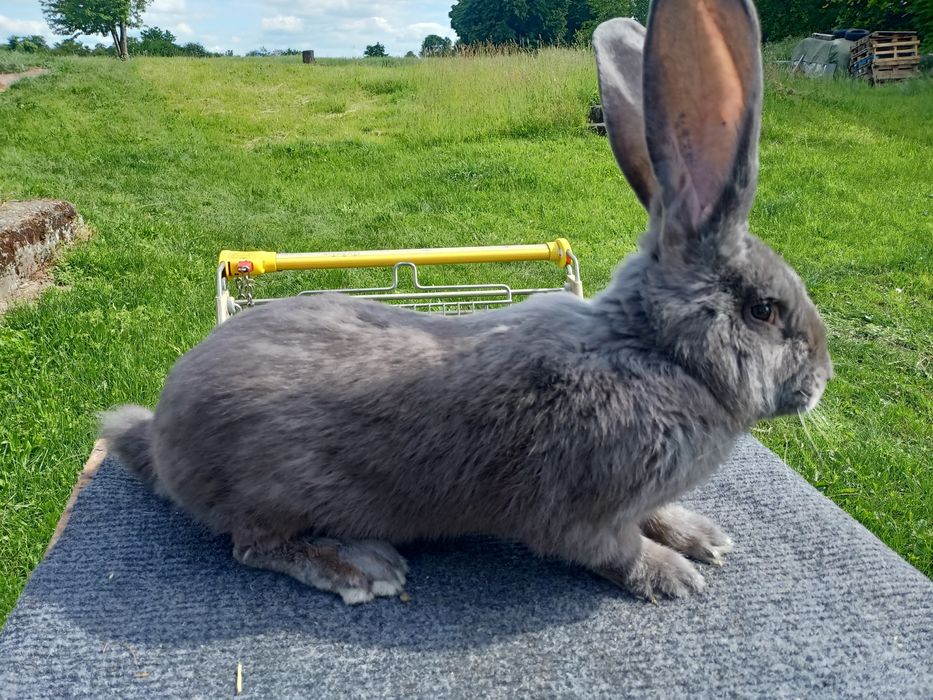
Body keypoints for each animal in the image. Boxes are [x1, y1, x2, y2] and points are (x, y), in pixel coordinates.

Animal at [100, 0, 832, 604]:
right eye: (765, 310)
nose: (820, 381)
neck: (652, 351)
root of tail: (158, 438)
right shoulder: (584, 513)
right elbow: (614, 550)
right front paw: (672, 575)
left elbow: (656, 515)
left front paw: (703, 537)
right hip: (271, 491)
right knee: (253, 547)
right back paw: (361, 568)